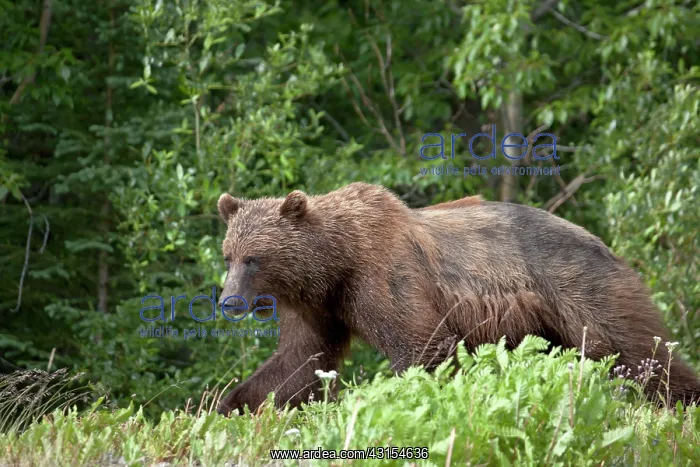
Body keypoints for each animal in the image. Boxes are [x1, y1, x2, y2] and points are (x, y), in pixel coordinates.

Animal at [215, 182, 699, 416]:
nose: (228, 301)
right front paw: (230, 404)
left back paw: (683, 400)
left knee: (638, 351)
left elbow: (422, 345)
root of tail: (603, 244)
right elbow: (299, 360)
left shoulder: (382, 276)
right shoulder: (320, 305)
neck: (336, 262)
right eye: (229, 255)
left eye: (254, 258)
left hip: (581, 290)